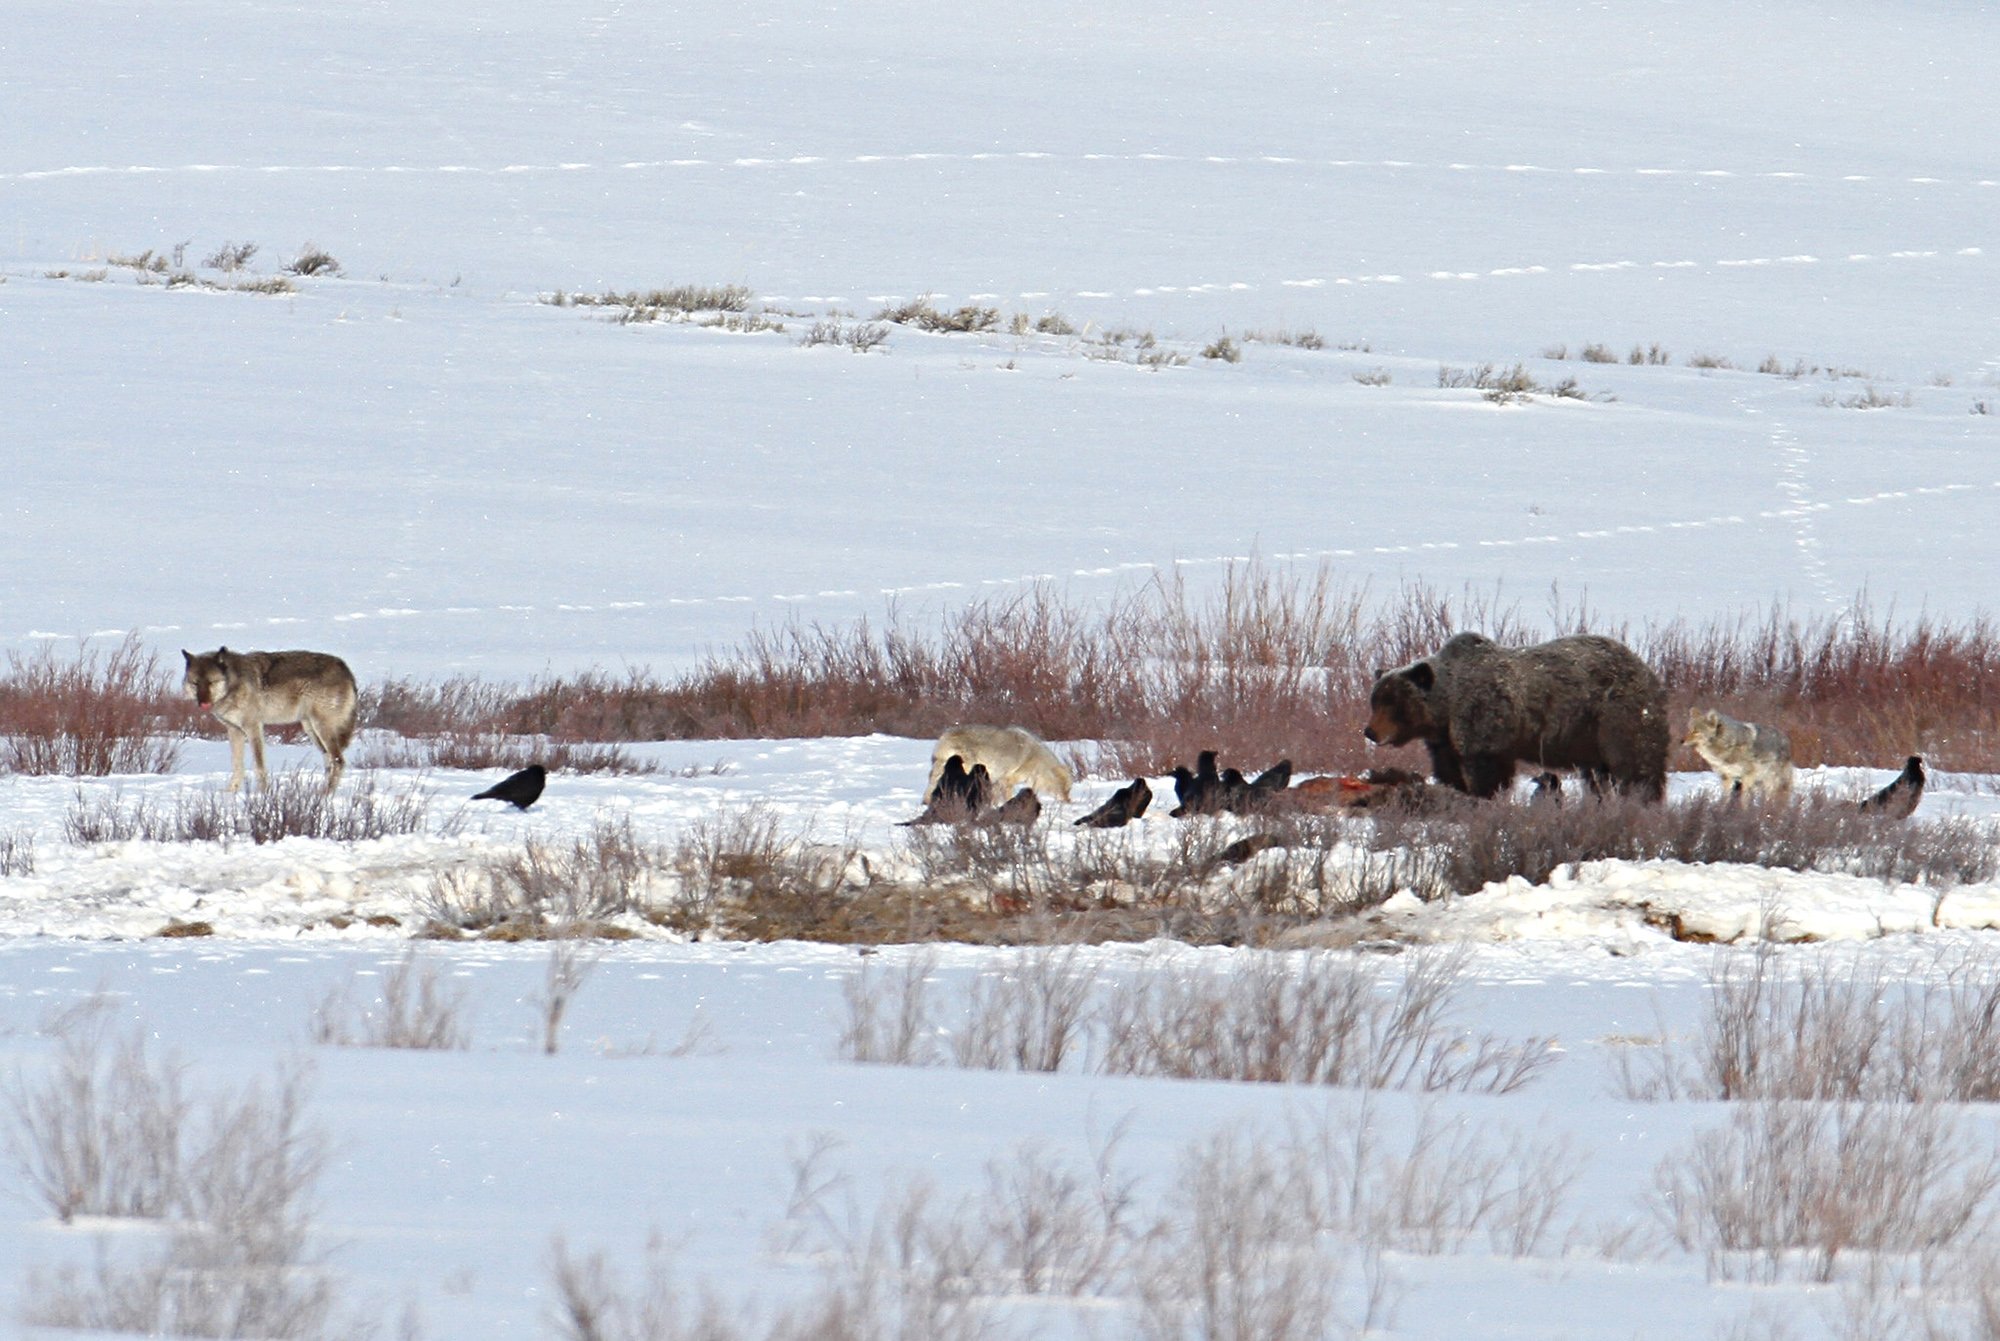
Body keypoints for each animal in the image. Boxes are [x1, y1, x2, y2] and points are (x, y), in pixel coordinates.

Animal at [181, 647, 358, 793]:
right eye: (195, 683)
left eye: (211, 682)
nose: (202, 703)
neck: (233, 683)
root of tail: (346, 669)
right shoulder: (234, 730)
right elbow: (237, 765)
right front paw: (230, 793)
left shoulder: (253, 727)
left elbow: (259, 766)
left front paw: (262, 795)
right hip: (311, 729)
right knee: (329, 761)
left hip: (320, 728)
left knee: (339, 761)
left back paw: (325, 795)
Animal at [925, 725, 1073, 803]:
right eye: (1066, 789)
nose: (1069, 802)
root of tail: (944, 738)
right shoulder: (1007, 780)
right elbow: (1007, 797)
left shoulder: (998, 780)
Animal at [1363, 632, 1668, 801]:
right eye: (1374, 701)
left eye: (1392, 703)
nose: (1370, 732)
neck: (1447, 708)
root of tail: (1647, 671)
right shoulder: (1446, 740)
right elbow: (1450, 771)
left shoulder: (1486, 722)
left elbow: (1490, 773)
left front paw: (1486, 798)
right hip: (1590, 736)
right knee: (1598, 776)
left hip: (1615, 716)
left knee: (1636, 766)